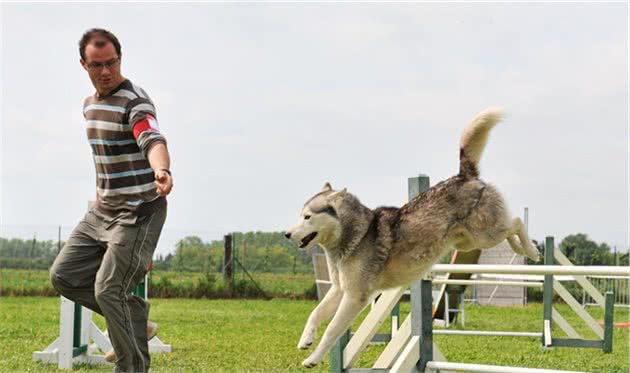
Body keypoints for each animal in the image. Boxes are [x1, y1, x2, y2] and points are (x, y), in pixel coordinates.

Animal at [286, 107, 544, 366]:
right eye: (299, 215)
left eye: (307, 217)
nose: (287, 234)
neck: (353, 236)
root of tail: (464, 176)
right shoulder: (339, 289)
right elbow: (314, 313)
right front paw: (305, 339)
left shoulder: (355, 296)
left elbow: (331, 330)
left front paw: (313, 358)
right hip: (470, 241)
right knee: (510, 229)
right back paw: (520, 249)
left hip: (484, 235)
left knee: (517, 222)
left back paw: (532, 250)